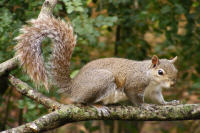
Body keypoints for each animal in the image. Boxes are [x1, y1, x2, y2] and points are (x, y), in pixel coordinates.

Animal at [14, 15, 180, 111]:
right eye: (160, 72)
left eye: (176, 71)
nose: (173, 84)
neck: (151, 78)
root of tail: (73, 88)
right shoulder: (135, 83)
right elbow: (134, 96)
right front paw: (144, 105)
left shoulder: (154, 91)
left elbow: (159, 100)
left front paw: (169, 103)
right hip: (102, 80)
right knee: (84, 101)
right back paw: (96, 105)